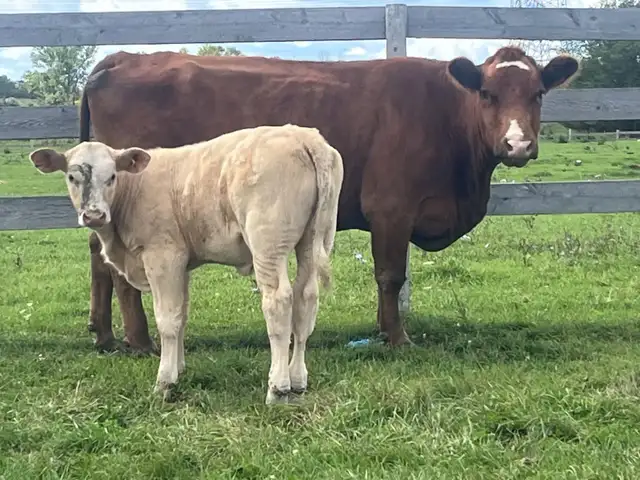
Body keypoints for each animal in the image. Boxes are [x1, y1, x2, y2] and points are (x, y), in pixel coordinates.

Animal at [28, 124, 344, 404]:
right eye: (72, 177)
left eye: (112, 176)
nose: (94, 215)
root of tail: (303, 136)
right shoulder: (182, 264)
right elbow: (182, 314)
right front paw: (179, 368)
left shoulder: (163, 257)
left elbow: (168, 320)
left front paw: (165, 381)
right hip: (313, 239)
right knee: (306, 299)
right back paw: (298, 381)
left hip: (268, 244)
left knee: (278, 302)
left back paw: (278, 387)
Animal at [78, 45, 579, 352]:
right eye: (488, 94)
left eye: (538, 93)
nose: (518, 145)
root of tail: (125, 58)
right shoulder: (391, 208)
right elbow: (390, 276)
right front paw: (397, 337)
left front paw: (383, 330)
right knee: (120, 272)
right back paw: (141, 341)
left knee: (99, 259)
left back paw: (104, 335)